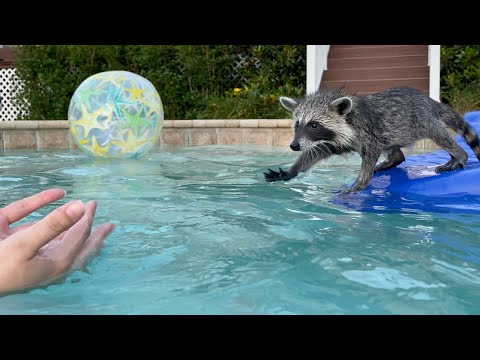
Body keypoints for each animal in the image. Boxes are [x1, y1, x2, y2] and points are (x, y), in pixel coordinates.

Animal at [264, 86, 480, 193]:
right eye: (297, 125)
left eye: (314, 125)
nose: (294, 145)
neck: (348, 119)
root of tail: (430, 101)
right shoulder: (338, 140)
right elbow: (317, 151)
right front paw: (291, 171)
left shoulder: (367, 133)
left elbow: (369, 158)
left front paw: (358, 185)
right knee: (394, 149)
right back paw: (393, 159)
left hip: (420, 120)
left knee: (439, 134)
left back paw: (459, 155)